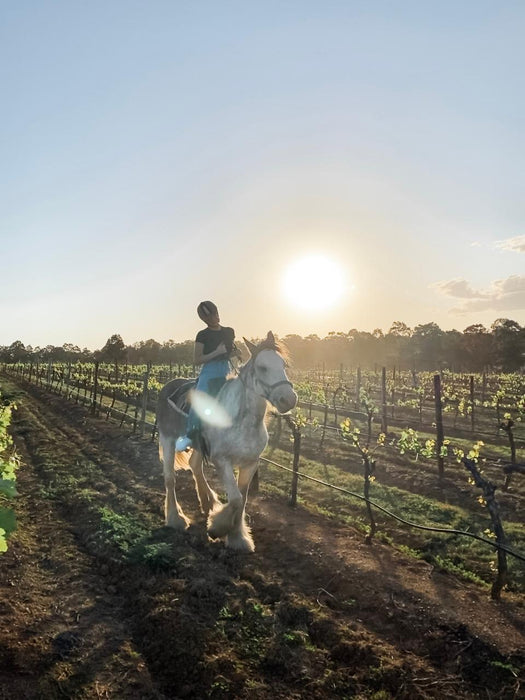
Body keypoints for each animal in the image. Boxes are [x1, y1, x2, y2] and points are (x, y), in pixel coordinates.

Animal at [155, 334, 294, 552]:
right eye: (262, 367)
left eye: (284, 365)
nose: (289, 399)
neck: (241, 420)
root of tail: (169, 384)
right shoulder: (222, 460)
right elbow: (236, 499)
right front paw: (217, 529)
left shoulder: (251, 463)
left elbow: (242, 499)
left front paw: (238, 537)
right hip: (167, 439)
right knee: (170, 478)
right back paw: (176, 519)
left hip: (198, 445)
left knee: (195, 466)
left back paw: (208, 502)